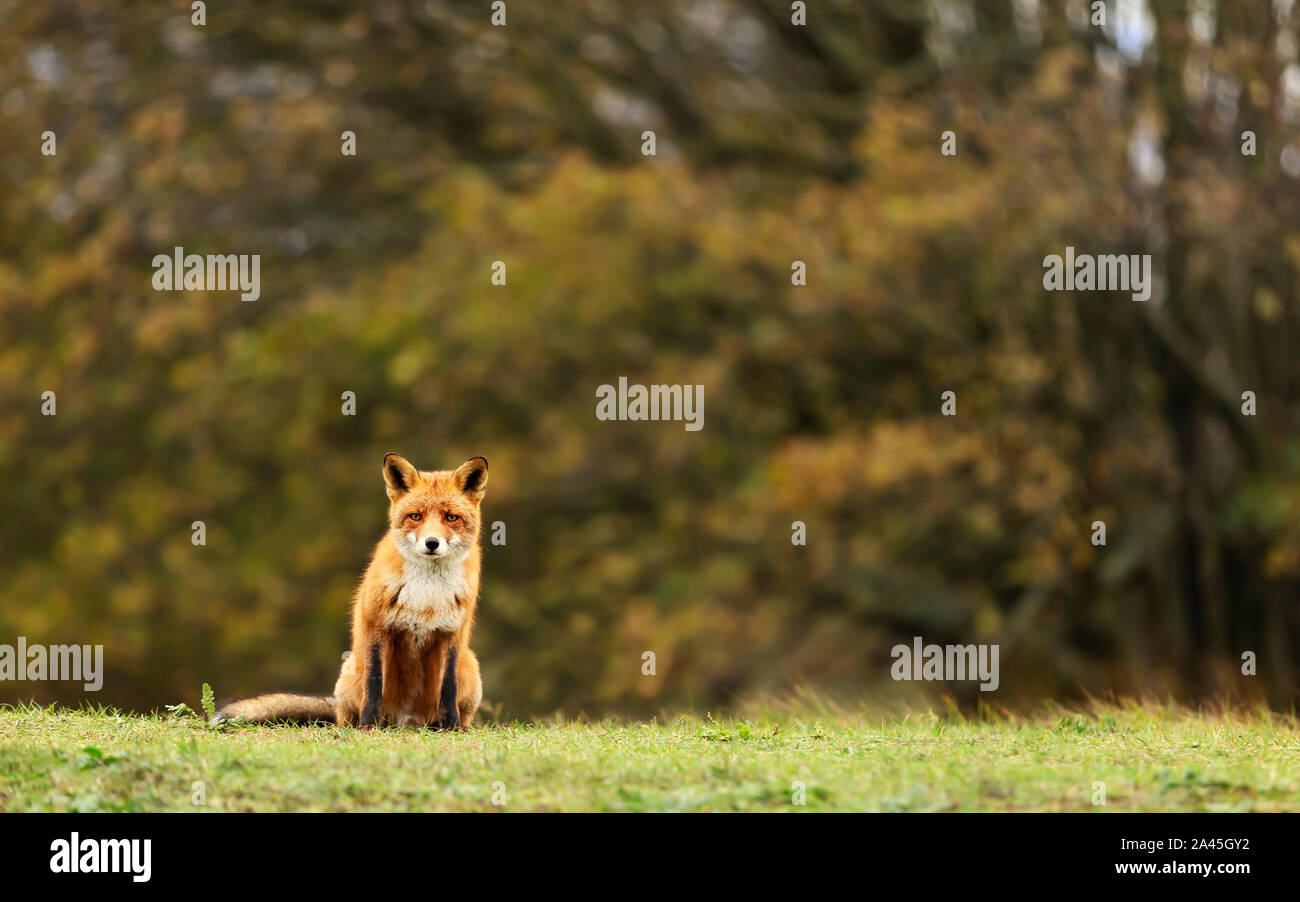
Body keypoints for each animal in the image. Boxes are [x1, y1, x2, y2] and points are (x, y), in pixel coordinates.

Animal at [218, 454, 488, 733]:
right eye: (416, 516)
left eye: (451, 517)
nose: (431, 543)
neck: (426, 594)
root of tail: (407, 722)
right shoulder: (375, 627)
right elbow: (374, 684)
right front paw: (368, 725)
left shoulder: (452, 634)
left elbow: (448, 688)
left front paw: (452, 727)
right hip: (349, 670)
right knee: (344, 716)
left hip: (471, 666)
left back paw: (452, 727)